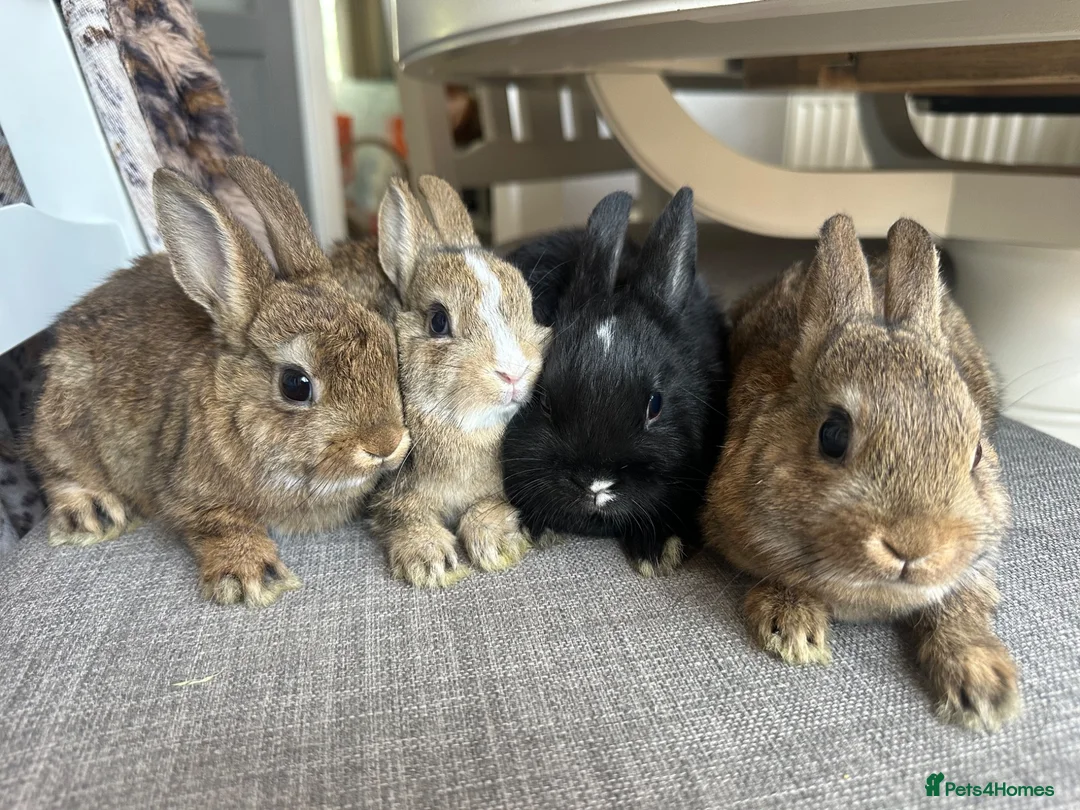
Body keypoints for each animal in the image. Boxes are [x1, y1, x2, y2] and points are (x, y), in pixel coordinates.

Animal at [29, 156, 410, 607]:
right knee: (53, 467)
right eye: (295, 384)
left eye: (388, 345)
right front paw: (252, 576)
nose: (385, 444)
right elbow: (220, 522)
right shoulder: (185, 489)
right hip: (65, 420)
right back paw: (91, 512)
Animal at [368, 176, 550, 588]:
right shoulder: (391, 491)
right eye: (438, 321)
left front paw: (498, 546)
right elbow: (406, 515)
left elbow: (484, 509)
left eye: (529, 306)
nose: (513, 372)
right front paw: (430, 563)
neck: (469, 427)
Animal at [702, 214, 1018, 732]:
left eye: (975, 453)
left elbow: (963, 602)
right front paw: (793, 629)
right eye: (833, 435)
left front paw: (985, 685)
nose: (913, 546)